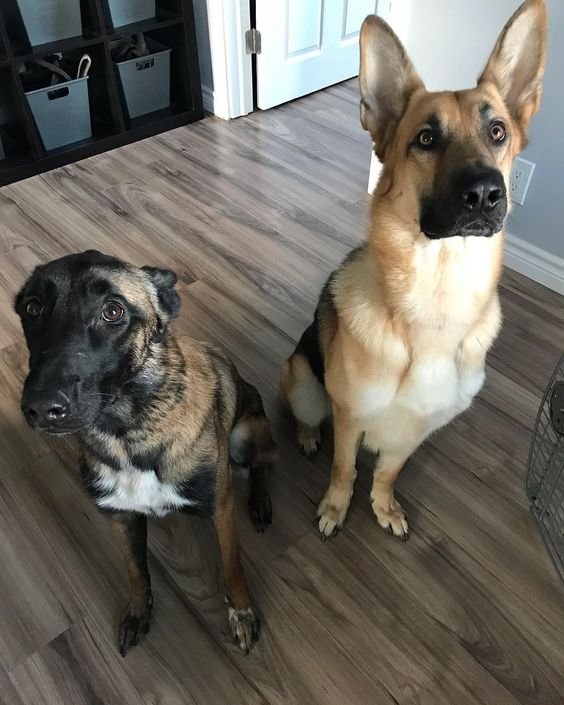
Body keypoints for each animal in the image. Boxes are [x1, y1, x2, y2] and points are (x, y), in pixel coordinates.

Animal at [14, 252, 276, 656]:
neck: (128, 432)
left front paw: (241, 613)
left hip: (246, 433)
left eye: (113, 311)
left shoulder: (221, 507)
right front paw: (139, 612)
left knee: (264, 463)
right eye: (32, 308)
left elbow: (232, 566)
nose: (40, 409)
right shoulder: (120, 516)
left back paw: (261, 502)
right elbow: (137, 570)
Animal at [280, 1, 548, 540]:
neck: (437, 300)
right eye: (426, 138)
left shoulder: (416, 430)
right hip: (303, 381)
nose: (485, 193)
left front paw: (383, 506)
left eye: (497, 132)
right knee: (308, 416)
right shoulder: (349, 417)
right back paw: (307, 436)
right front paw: (335, 508)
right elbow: (344, 468)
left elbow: (387, 471)